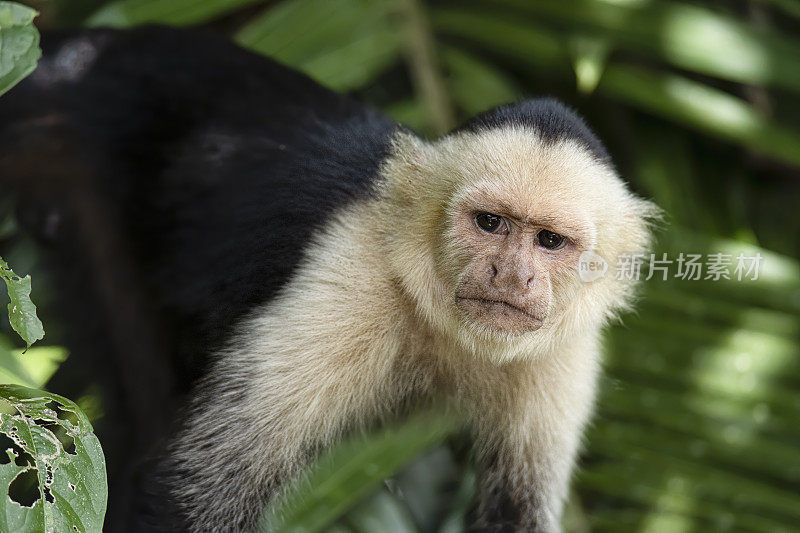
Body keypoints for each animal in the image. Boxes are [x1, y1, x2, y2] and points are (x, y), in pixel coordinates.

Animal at [0, 23, 656, 528]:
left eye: (550, 241)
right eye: (489, 223)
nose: (511, 273)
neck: (444, 331)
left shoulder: (564, 352)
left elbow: (516, 513)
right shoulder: (352, 279)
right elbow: (191, 495)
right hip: (76, 166)